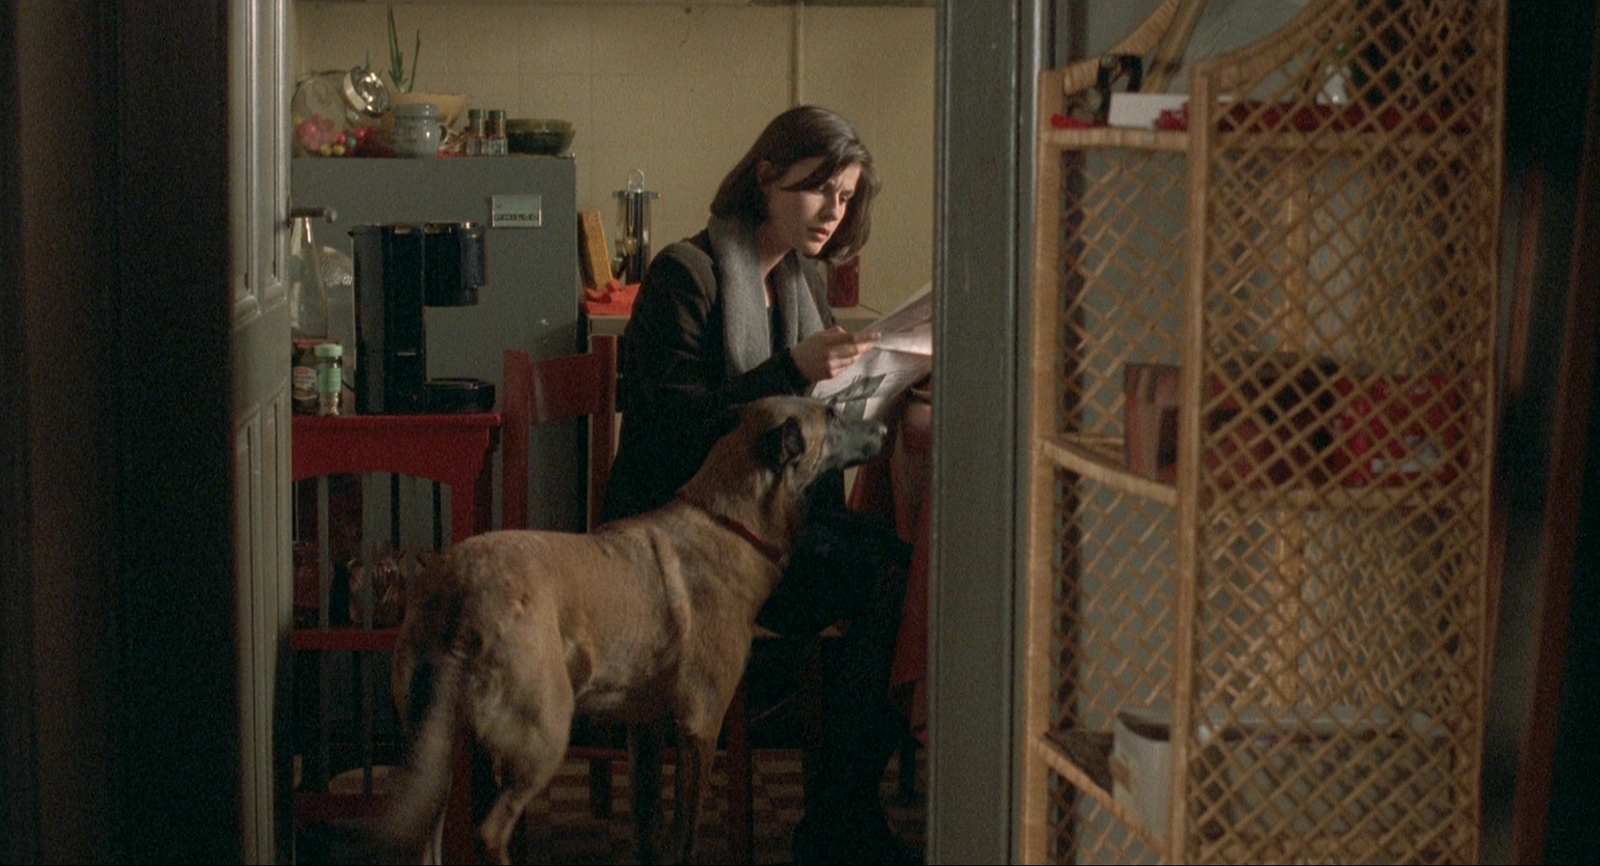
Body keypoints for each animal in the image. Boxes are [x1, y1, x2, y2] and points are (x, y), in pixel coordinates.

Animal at [366, 395, 883, 857]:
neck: (731, 520)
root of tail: (461, 585)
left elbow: (647, 828)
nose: (881, 426)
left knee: (428, 840)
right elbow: (685, 837)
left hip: (436, 748)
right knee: (490, 832)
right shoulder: (700, 727)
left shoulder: (645, 729)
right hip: (544, 736)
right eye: (833, 414)